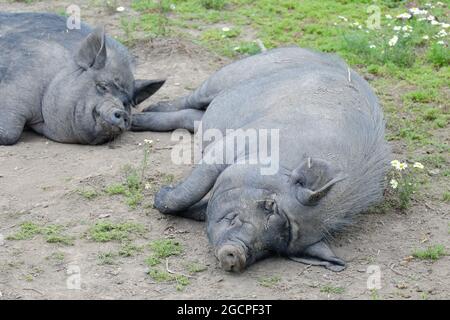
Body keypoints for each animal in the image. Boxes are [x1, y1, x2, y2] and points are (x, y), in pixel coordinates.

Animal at [151, 47, 390, 272]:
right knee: (189, 101)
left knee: (191, 116)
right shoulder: (230, 146)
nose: (236, 253)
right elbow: (189, 191)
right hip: (227, 76)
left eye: (275, 246)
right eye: (269, 205)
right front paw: (160, 195)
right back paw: (150, 109)